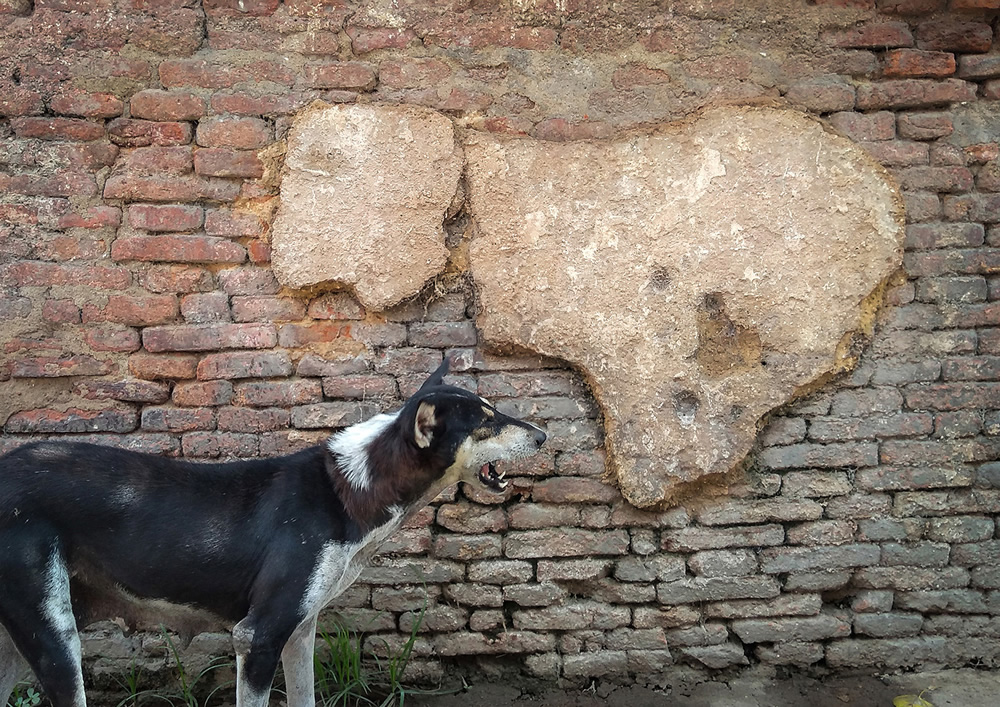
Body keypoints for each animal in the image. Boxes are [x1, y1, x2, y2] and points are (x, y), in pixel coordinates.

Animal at [0, 362, 548, 707]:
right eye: (485, 422)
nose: (544, 436)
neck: (347, 490)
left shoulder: (299, 632)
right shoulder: (258, 636)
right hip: (55, 639)